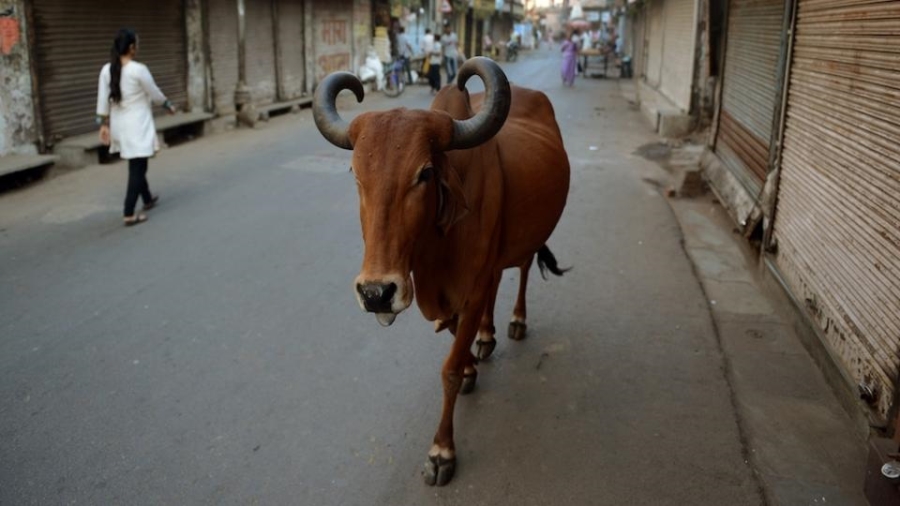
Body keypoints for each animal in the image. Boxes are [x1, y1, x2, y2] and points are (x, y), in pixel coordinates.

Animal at [314, 57, 568, 484]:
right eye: (357, 176)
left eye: (425, 173)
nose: (376, 293)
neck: (436, 247)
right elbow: (455, 339)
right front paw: (471, 366)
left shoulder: (473, 286)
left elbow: (448, 369)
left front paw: (442, 451)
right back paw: (487, 336)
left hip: (526, 241)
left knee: (524, 268)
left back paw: (515, 321)